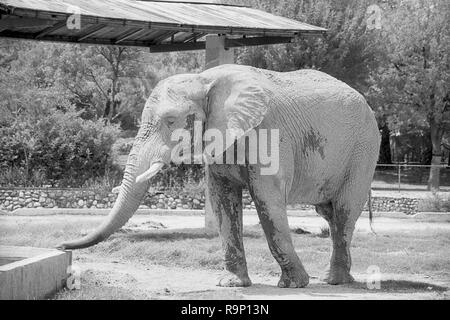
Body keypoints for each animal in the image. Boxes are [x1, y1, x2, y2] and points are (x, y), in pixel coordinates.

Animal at [59, 64, 380, 288]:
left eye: (171, 121)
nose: (61, 246)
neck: (205, 79)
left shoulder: (269, 134)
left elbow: (268, 202)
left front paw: (292, 285)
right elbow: (222, 200)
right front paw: (232, 284)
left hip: (364, 150)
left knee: (344, 211)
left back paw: (335, 281)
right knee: (328, 212)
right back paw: (336, 278)